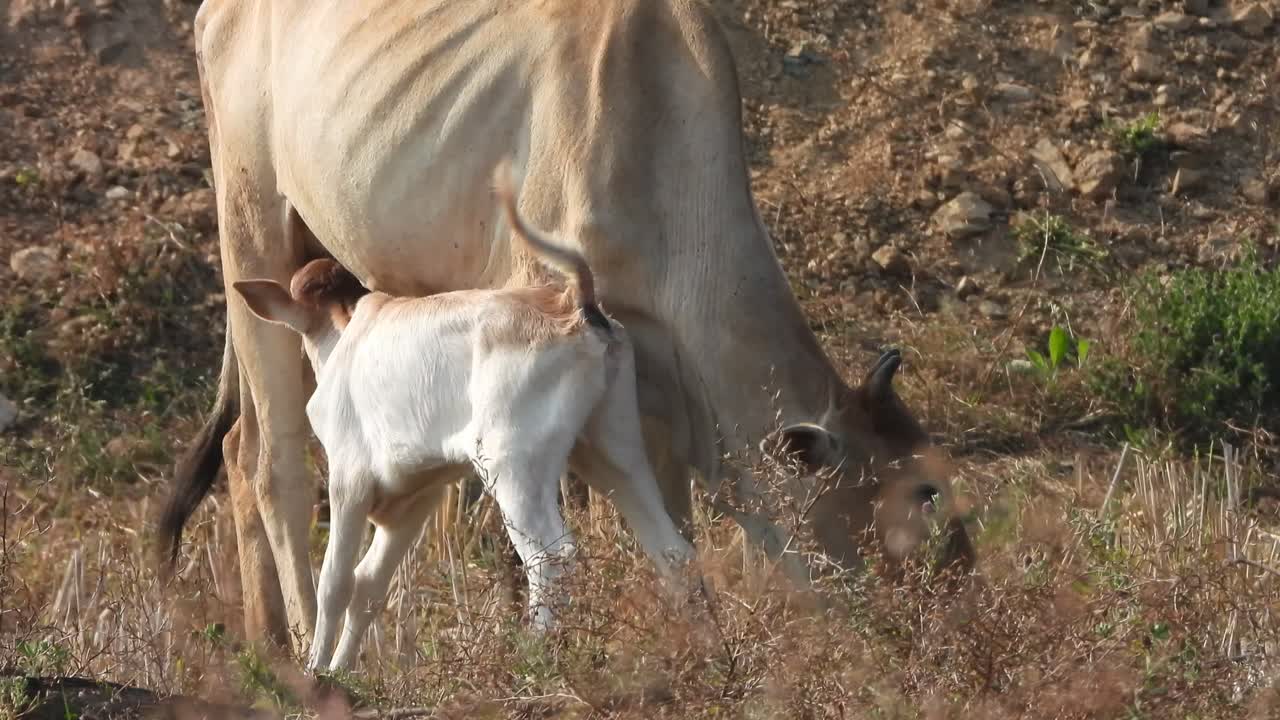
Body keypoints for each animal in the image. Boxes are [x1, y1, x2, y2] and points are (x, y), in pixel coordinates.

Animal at [159, 0, 974, 651]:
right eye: (914, 496)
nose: (946, 616)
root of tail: (214, 12)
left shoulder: (651, 397)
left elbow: (671, 530)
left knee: (238, 446)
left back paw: (264, 640)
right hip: (254, 224)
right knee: (274, 463)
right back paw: (301, 645)